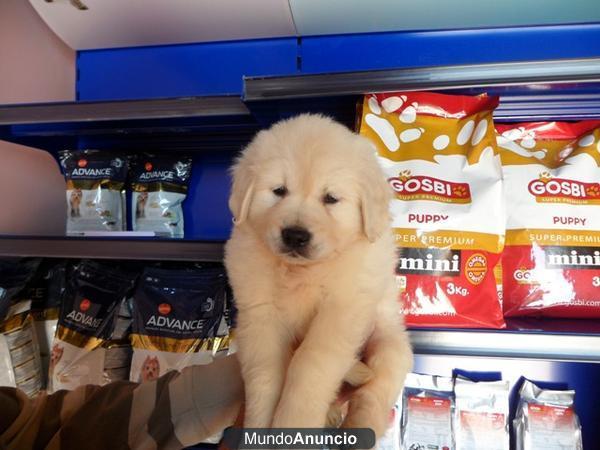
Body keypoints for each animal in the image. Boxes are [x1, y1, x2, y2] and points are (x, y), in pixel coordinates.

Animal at [225, 114, 412, 438]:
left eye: (331, 198)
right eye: (279, 190)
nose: (295, 236)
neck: (301, 270)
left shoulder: (341, 311)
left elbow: (309, 362)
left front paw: (293, 424)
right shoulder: (260, 315)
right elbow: (265, 375)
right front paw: (260, 429)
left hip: (390, 341)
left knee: (375, 391)